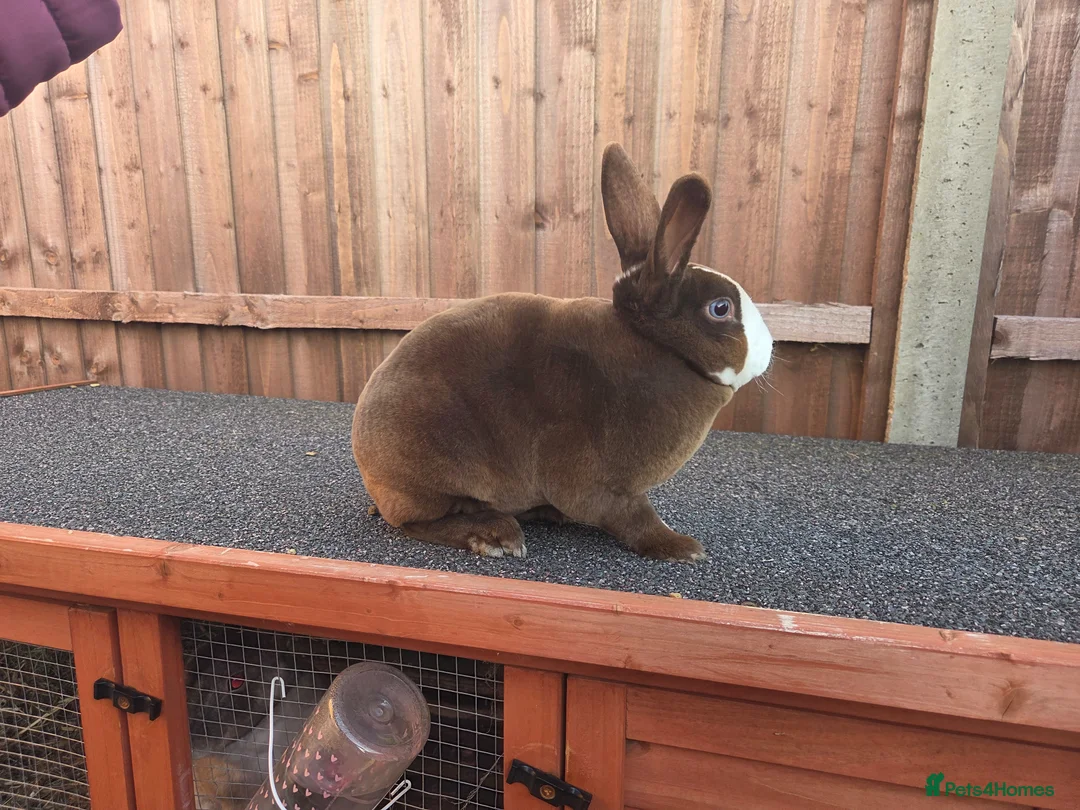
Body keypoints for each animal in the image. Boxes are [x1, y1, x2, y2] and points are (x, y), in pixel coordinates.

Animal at [352, 142, 773, 562]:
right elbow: (634, 517)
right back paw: (495, 536)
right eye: (721, 308)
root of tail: (365, 461)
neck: (658, 349)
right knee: (417, 522)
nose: (770, 346)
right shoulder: (596, 482)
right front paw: (681, 547)